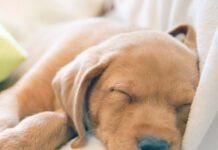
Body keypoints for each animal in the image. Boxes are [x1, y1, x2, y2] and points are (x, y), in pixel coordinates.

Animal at [0, 17, 199, 150]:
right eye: (122, 92)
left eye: (186, 104)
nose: (154, 146)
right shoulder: (18, 94)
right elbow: (7, 115)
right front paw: (12, 140)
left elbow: (55, 118)